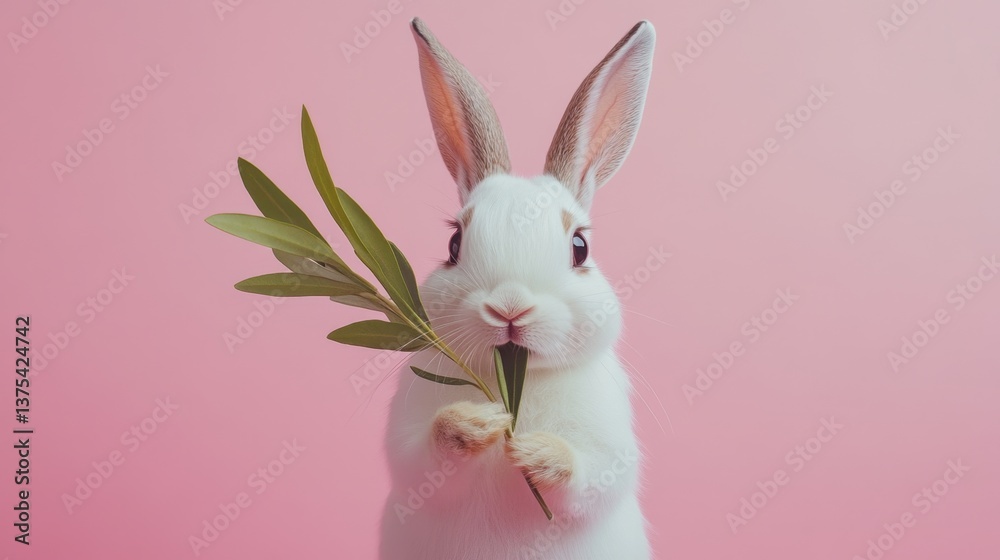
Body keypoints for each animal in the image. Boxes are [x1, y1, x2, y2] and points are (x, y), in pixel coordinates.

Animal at [379, 17, 656, 560]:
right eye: (453, 243)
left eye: (579, 247)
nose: (510, 309)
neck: (517, 376)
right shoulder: (409, 441)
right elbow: (424, 453)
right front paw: (476, 423)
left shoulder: (609, 447)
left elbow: (590, 474)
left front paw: (534, 450)